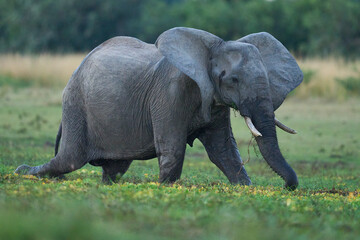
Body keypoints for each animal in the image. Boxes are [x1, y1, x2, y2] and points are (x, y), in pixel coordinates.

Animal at [16, 27, 304, 190]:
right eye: (232, 79)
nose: (287, 187)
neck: (211, 49)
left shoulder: (214, 101)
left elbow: (223, 151)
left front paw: (244, 188)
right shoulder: (170, 93)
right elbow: (174, 148)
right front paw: (165, 187)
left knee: (115, 168)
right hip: (75, 102)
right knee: (70, 159)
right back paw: (22, 172)